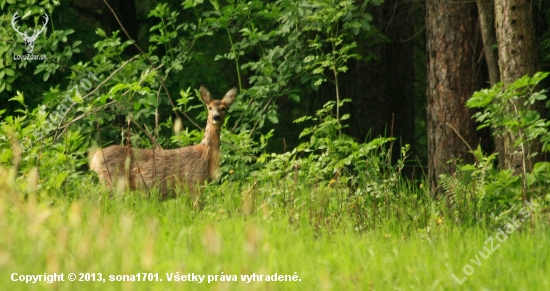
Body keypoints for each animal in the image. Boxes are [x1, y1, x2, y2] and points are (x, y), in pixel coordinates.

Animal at [90, 85, 237, 197]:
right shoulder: (193, 181)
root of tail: (95, 159)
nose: (216, 117)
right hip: (112, 180)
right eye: (209, 107)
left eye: (224, 108)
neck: (205, 154)